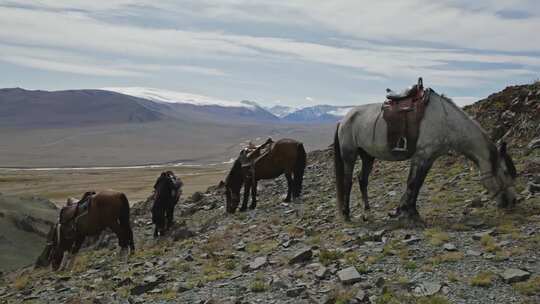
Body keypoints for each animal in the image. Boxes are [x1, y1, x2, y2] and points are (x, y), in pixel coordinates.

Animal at [336, 79, 516, 224]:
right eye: (505, 172)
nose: (512, 202)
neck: (446, 121)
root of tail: (343, 119)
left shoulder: (429, 157)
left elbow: (417, 184)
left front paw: (408, 211)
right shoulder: (421, 156)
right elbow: (412, 183)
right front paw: (407, 212)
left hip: (367, 155)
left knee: (362, 180)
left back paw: (368, 213)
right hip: (350, 154)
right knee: (348, 181)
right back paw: (346, 214)